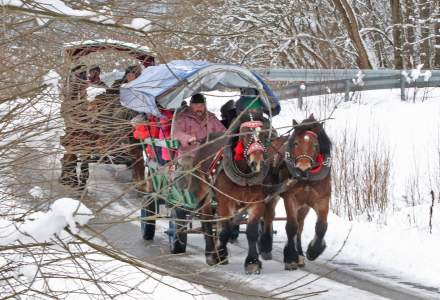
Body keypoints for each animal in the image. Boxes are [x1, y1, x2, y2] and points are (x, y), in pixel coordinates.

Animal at [278, 115, 334, 270]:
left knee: (300, 226)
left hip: (304, 206)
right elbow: (291, 226)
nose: (302, 169)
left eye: (316, 145)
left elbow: (321, 227)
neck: (308, 179)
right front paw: (290, 257)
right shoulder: (290, 198)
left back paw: (300, 255)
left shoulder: (321, 200)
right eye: (296, 143)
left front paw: (313, 251)